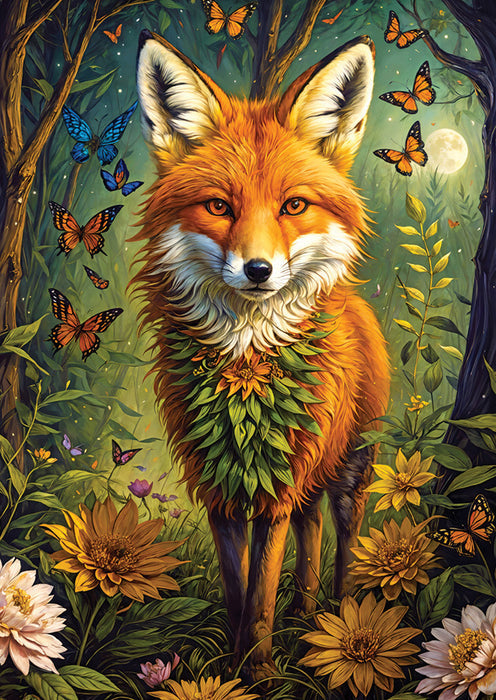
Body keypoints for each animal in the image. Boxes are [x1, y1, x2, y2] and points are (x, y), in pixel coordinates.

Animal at [133, 30, 389, 682]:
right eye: (219, 207)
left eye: (293, 206)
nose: (258, 270)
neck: (247, 375)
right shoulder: (221, 485)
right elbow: (237, 588)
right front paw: (232, 671)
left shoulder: (278, 483)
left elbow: (260, 594)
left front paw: (261, 670)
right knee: (311, 526)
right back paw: (308, 616)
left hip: (349, 465)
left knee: (343, 535)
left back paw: (341, 617)